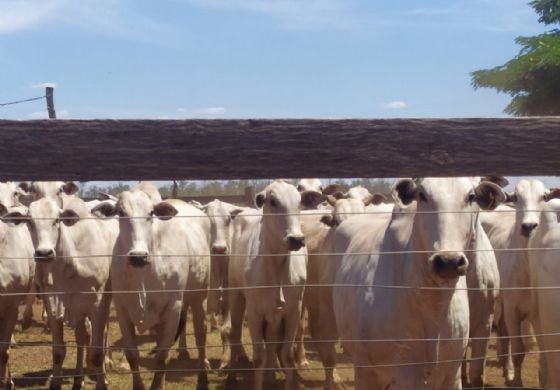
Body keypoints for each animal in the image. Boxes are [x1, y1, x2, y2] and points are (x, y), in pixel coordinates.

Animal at [93, 184, 211, 390]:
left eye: (151, 213)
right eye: (121, 212)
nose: (138, 256)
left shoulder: (173, 309)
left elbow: (162, 357)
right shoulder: (123, 309)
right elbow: (132, 355)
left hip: (200, 297)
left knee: (200, 338)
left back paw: (203, 378)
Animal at [226, 181, 306, 390]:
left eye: (299, 202)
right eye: (273, 202)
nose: (296, 239)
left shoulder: (293, 311)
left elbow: (286, 355)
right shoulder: (254, 311)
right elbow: (258, 357)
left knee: (271, 341)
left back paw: (271, 374)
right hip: (236, 296)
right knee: (235, 335)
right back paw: (231, 376)